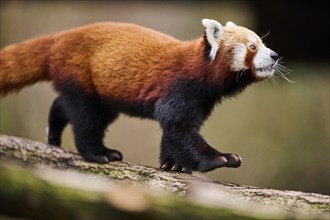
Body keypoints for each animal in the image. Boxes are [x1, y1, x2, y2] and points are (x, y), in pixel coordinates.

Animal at [0, 18, 278, 173]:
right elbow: (178, 127)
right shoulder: (179, 87)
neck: (202, 75)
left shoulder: (201, 101)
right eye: (253, 46)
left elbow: (174, 132)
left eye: (263, 43)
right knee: (85, 118)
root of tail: (61, 37)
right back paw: (98, 152)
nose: (275, 55)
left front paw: (172, 164)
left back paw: (53, 132)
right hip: (82, 73)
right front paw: (220, 158)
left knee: (67, 104)